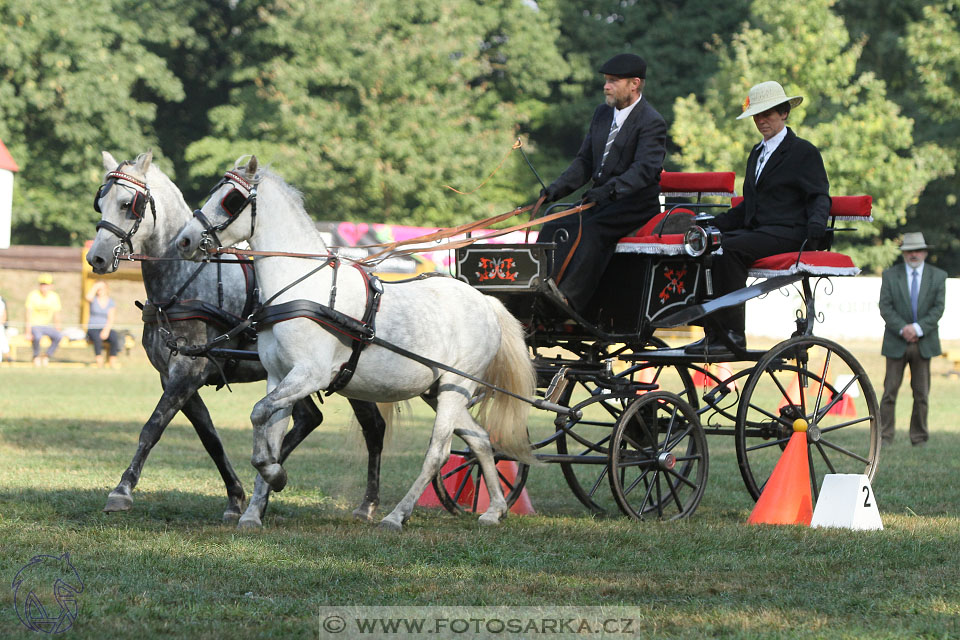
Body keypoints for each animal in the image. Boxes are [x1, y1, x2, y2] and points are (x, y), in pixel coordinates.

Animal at [86, 151, 386, 524]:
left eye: (128, 204)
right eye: (100, 202)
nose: (96, 257)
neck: (185, 281)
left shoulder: (189, 372)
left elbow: (152, 427)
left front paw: (122, 491)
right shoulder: (174, 375)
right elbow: (209, 437)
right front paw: (236, 497)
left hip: (349, 375)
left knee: (373, 427)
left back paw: (367, 503)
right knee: (309, 419)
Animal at [176, 155, 536, 528]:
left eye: (230, 199)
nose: (184, 241)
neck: (304, 287)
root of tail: (487, 303)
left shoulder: (310, 375)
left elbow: (259, 415)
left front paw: (276, 475)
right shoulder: (278, 377)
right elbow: (268, 429)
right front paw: (254, 510)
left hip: (455, 388)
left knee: (438, 453)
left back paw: (396, 515)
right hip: (439, 391)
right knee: (480, 439)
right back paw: (494, 509)